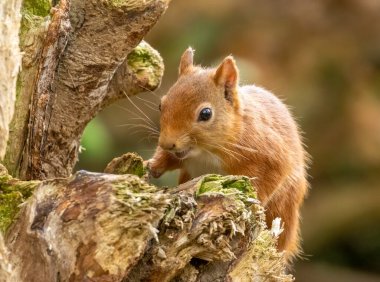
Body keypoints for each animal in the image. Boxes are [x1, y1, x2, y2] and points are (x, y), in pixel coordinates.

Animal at [148, 47, 308, 262]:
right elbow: (170, 157)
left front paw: (253, 202)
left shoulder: (270, 154)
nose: (167, 143)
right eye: (161, 105)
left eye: (206, 114)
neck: (205, 153)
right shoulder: (183, 155)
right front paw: (153, 165)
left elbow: (269, 179)